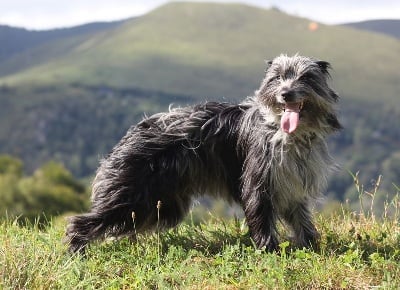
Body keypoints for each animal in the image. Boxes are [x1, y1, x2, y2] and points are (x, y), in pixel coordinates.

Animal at [65, 55, 340, 254]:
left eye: (306, 77)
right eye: (277, 78)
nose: (285, 93)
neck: (286, 134)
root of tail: (132, 133)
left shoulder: (293, 189)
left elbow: (303, 222)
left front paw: (312, 248)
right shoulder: (258, 185)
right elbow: (262, 221)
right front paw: (269, 252)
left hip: (160, 205)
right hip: (131, 197)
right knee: (80, 222)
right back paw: (76, 253)